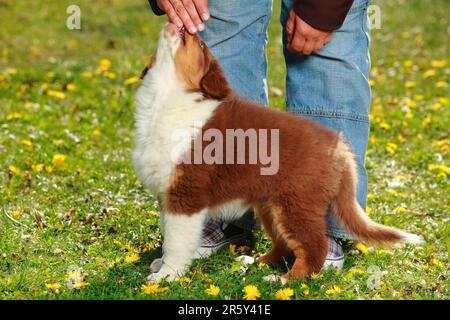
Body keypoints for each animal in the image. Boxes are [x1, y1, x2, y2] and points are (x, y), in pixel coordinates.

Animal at [133, 22, 422, 282]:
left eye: (201, 46)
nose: (187, 27)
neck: (167, 99)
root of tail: (340, 147)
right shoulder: (166, 194)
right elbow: (168, 232)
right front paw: (160, 264)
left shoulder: (186, 195)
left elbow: (176, 241)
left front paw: (166, 276)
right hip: (271, 204)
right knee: (284, 245)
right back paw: (256, 264)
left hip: (297, 202)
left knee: (313, 246)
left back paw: (285, 280)